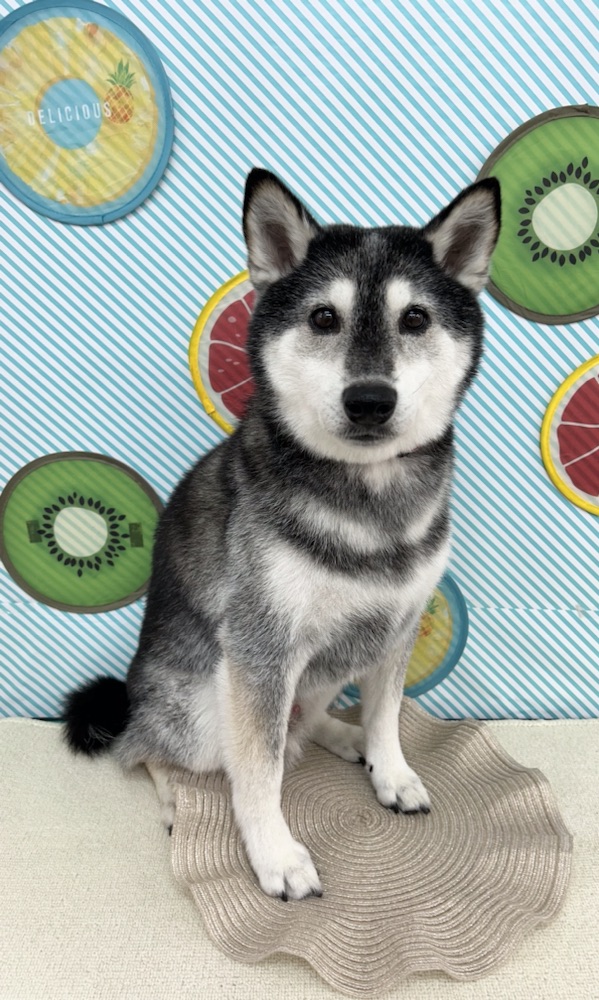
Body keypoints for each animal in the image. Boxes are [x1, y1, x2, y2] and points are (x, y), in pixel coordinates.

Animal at [64, 167, 500, 901]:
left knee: (305, 715)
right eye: (323, 317)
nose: (369, 400)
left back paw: (340, 736)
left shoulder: (398, 622)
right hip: (202, 705)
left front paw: (388, 770)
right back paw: (172, 798)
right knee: (148, 750)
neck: (368, 496)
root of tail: (134, 693)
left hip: (328, 660)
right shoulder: (261, 648)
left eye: (415, 318)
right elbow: (260, 774)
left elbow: (386, 716)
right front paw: (276, 856)